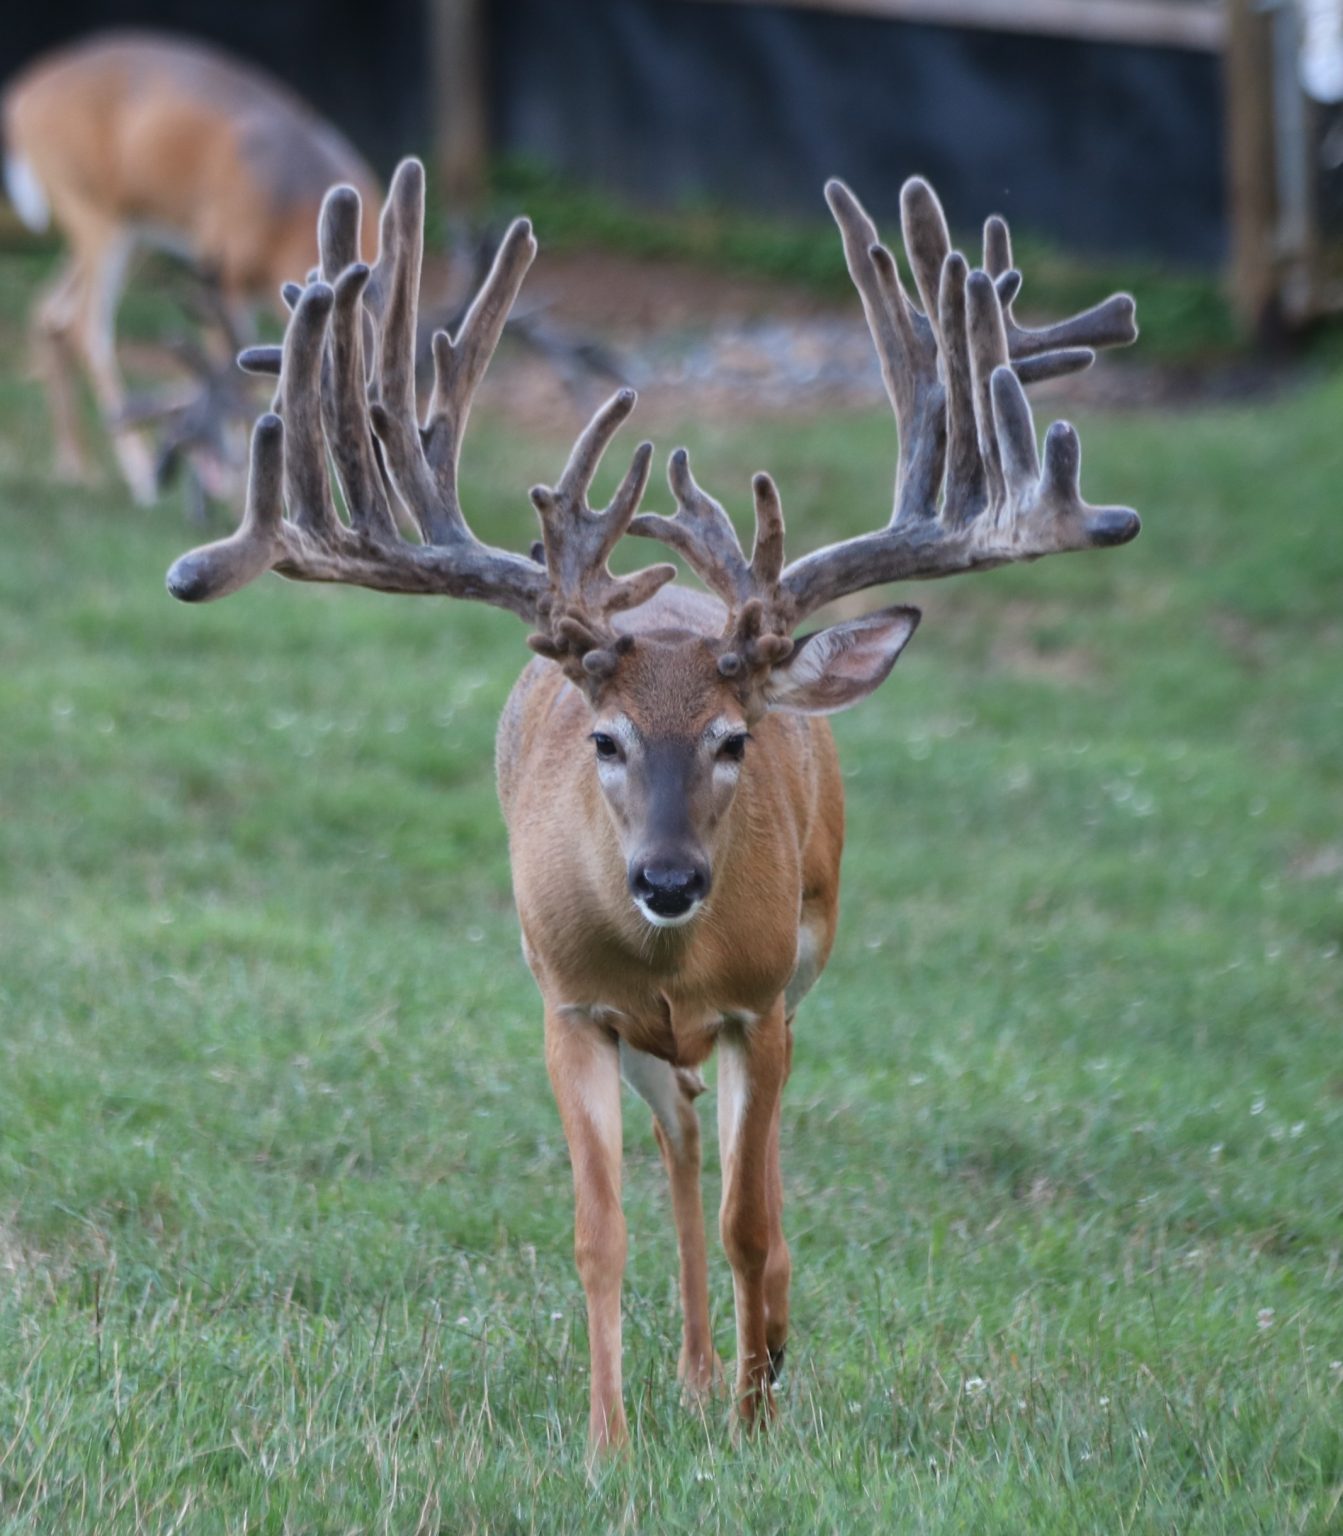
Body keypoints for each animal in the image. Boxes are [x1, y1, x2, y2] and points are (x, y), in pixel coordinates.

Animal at [2, 29, 379, 500]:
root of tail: (21, 100)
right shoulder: (223, 265)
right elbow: (229, 362)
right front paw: (238, 483)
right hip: (95, 212)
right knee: (85, 327)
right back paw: (139, 473)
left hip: (131, 228)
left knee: (48, 311)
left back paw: (76, 465)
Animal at [162, 155, 1137, 1449]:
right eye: (606, 738)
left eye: (732, 740)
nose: (667, 880)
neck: (673, 959)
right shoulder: (570, 1007)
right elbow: (599, 1234)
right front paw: (607, 1441)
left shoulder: (760, 1003)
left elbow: (752, 1221)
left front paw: (754, 1422)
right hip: (639, 1037)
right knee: (676, 1148)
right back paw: (690, 1370)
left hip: (797, 977)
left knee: (743, 1186)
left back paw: (754, 1361)